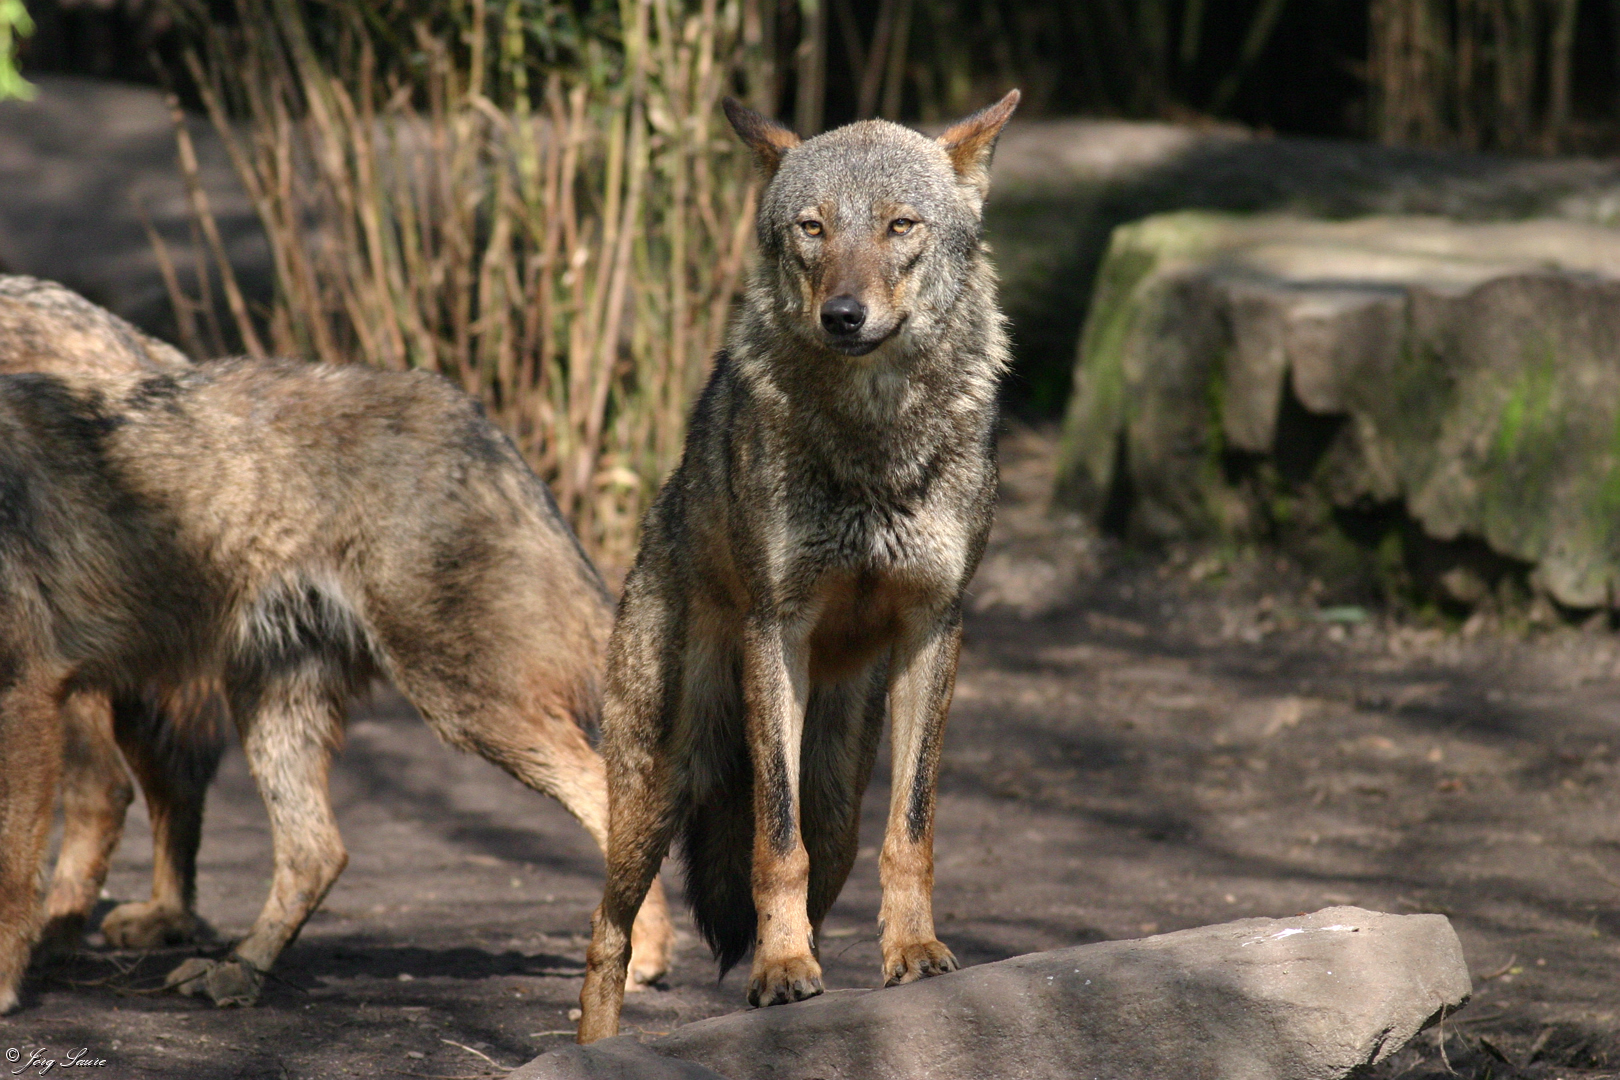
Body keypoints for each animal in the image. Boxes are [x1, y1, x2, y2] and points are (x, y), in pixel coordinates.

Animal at [0, 344, 674, 1014]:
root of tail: (468, 410)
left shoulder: (26, 697)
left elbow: (12, 873)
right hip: (272, 706)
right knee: (317, 853)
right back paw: (239, 970)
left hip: (459, 704)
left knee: (601, 793)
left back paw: (643, 958)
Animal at [576, 89, 1020, 1042]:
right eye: (812, 228)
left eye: (900, 225)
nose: (844, 315)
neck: (873, 441)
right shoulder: (775, 629)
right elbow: (772, 845)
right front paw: (780, 971)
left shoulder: (936, 627)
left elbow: (912, 831)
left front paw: (913, 954)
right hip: (654, 793)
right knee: (608, 938)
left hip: (838, 801)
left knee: (826, 859)